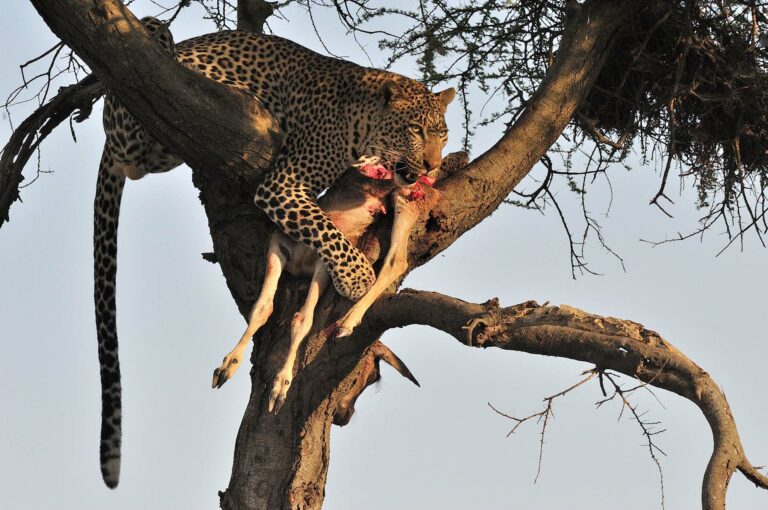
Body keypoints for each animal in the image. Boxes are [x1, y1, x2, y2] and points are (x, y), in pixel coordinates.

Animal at [96, 17, 456, 488]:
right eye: (416, 130)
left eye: (442, 134)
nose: (434, 165)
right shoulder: (281, 190)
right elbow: (319, 240)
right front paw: (354, 277)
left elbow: (325, 249)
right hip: (136, 106)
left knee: (394, 260)